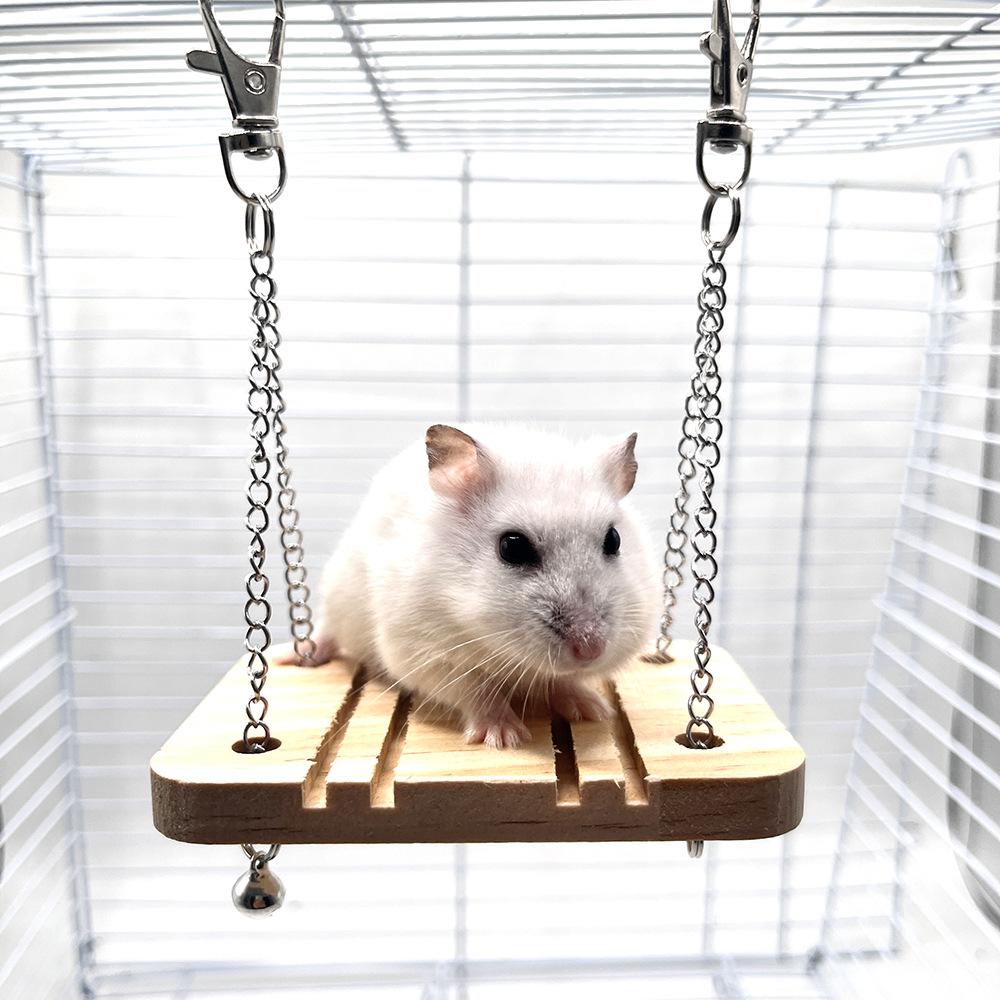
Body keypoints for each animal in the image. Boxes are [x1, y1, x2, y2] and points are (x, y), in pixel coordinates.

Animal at [304, 424, 660, 749]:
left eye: (613, 539)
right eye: (512, 547)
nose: (590, 650)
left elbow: (559, 683)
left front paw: (592, 710)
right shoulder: (425, 653)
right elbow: (479, 693)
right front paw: (506, 738)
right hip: (338, 593)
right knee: (327, 628)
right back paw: (306, 654)